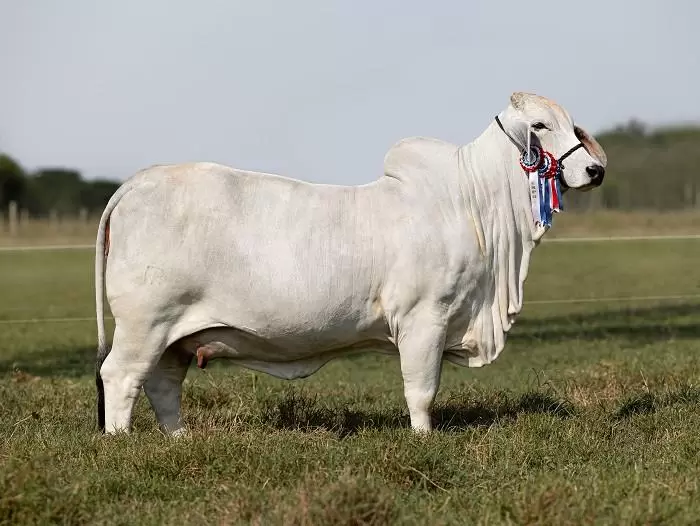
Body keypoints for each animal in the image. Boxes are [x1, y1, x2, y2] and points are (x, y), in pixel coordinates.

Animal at [95, 92, 607, 435]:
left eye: (572, 124)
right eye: (540, 125)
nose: (595, 170)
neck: (474, 203)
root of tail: (137, 183)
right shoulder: (425, 317)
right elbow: (421, 390)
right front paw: (423, 438)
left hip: (173, 336)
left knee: (163, 385)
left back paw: (180, 439)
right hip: (145, 322)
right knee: (119, 377)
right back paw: (122, 442)